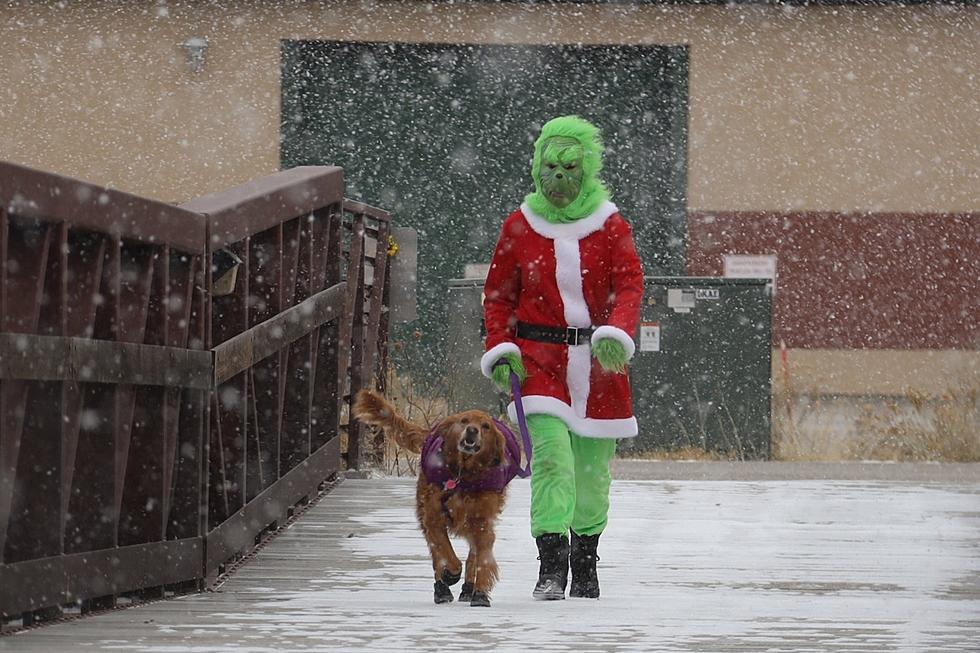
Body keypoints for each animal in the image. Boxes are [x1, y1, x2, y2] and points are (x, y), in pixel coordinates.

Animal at [354, 388, 520, 608]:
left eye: (485, 426)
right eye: (464, 421)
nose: (472, 430)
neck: (463, 475)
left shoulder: (482, 522)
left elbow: (482, 557)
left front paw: (480, 593)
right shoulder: (434, 517)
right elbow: (446, 553)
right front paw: (450, 574)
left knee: (472, 553)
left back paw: (467, 588)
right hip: (424, 510)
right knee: (436, 555)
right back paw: (441, 589)